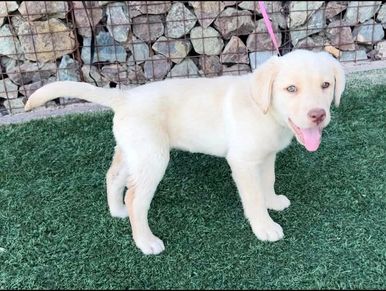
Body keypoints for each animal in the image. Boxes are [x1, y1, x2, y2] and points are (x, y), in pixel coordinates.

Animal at [25, 49, 346, 256]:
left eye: (326, 85)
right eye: (290, 89)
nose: (318, 115)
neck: (264, 108)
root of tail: (124, 97)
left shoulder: (266, 156)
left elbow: (267, 181)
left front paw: (273, 201)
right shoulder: (242, 161)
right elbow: (253, 197)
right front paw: (264, 227)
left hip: (133, 151)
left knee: (113, 177)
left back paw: (116, 211)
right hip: (153, 157)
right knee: (135, 198)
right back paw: (145, 242)